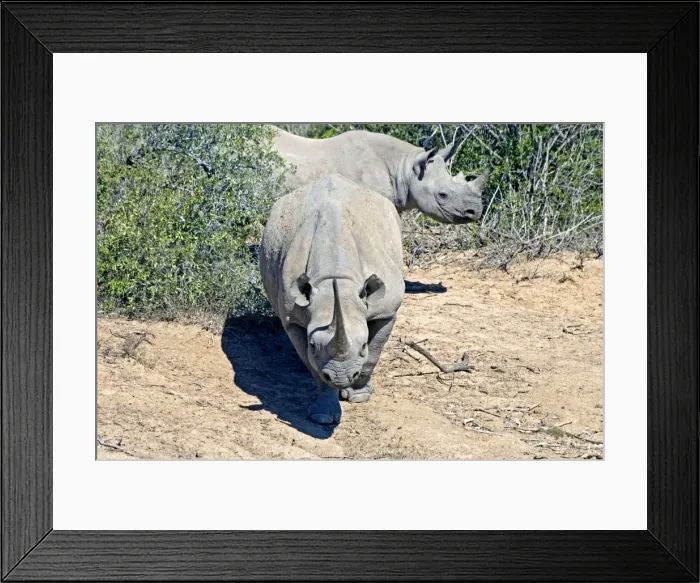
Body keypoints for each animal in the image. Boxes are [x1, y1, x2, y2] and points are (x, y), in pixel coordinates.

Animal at [259, 174, 404, 424]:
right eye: (313, 345)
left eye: (363, 345)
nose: (341, 377)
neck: (336, 277)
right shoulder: (292, 319)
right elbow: (315, 367)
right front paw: (323, 416)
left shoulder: (387, 311)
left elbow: (374, 354)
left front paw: (358, 396)